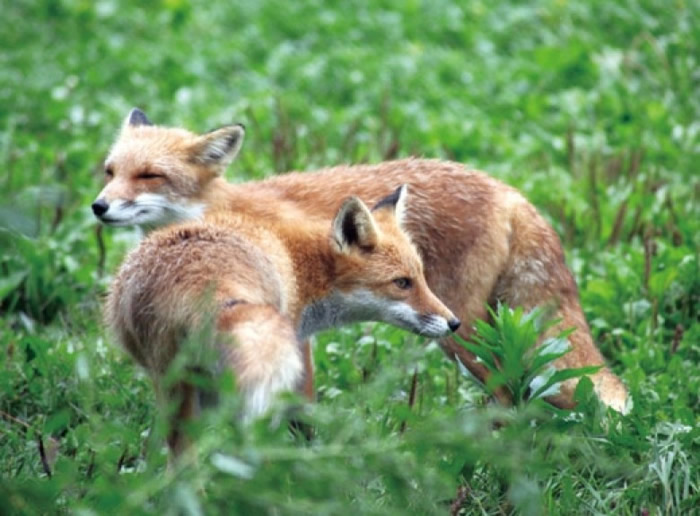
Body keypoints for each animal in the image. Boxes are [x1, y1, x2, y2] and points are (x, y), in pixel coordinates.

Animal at [94, 108, 628, 412]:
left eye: (149, 175)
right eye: (110, 172)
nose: (98, 207)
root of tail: (510, 190)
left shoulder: (296, 328)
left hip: (462, 333)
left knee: (511, 389)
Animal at [106, 182, 462, 456]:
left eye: (422, 277)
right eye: (402, 283)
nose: (454, 323)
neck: (300, 266)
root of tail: (201, 280)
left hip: (176, 386)